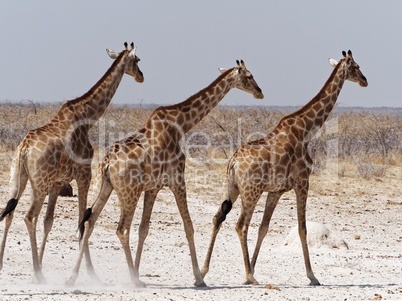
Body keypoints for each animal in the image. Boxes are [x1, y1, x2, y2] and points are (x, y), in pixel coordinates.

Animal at [0, 41, 144, 282]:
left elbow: (49, 222)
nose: (141, 76)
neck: (88, 118)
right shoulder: (84, 174)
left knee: (9, 212)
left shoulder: (58, 181)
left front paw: (43, 262)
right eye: (137, 60)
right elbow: (81, 220)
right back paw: (37, 274)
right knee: (29, 217)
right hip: (39, 183)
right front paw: (90, 272)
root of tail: (24, 148)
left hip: (18, 177)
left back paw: (4, 264)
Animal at [66, 59, 264, 286]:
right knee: (121, 229)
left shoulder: (153, 188)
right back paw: (133, 281)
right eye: (249, 76)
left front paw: (138, 270)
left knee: (89, 222)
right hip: (129, 192)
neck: (181, 124)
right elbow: (188, 226)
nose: (260, 92)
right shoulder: (178, 180)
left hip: (106, 186)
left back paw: (73, 277)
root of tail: (106, 162)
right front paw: (198, 278)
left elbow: (144, 229)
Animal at [203, 49, 370, 284]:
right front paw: (312, 275)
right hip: (251, 191)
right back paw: (248, 276)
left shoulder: (276, 191)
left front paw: (253, 268)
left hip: (232, 187)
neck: (306, 130)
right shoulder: (302, 183)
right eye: (356, 66)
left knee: (218, 217)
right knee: (241, 225)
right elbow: (302, 229)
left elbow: (264, 228)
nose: (365, 80)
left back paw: (204, 271)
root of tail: (233, 161)